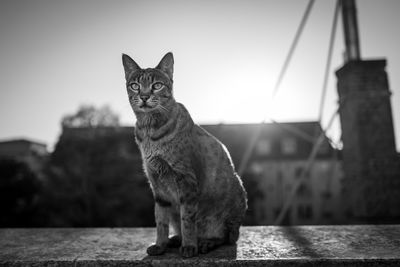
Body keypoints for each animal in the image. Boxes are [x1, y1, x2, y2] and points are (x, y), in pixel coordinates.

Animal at [122, 51, 247, 258]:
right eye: (135, 85)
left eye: (157, 85)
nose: (145, 96)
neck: (149, 131)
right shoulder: (156, 184)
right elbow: (160, 220)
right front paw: (161, 244)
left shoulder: (186, 179)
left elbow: (187, 219)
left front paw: (189, 246)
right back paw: (175, 240)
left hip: (230, 208)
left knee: (225, 236)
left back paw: (204, 243)